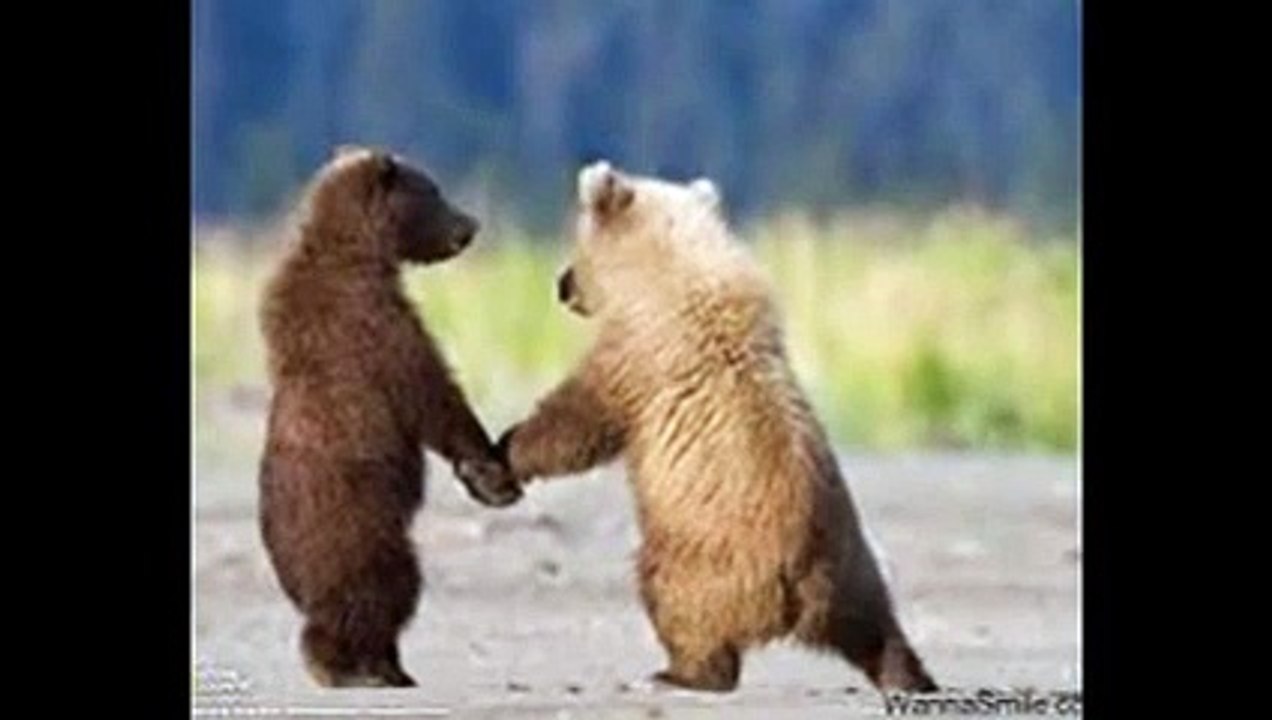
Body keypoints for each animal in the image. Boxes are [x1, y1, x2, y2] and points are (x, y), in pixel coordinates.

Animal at [257, 145, 521, 688]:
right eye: (435, 192)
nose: (471, 224)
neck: (359, 250)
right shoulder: (369, 320)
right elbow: (430, 391)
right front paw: (490, 473)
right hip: (364, 533)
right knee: (387, 590)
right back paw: (363, 666)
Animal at [493, 161, 938, 694]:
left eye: (576, 244)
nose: (561, 284)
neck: (679, 269)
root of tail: (800, 590)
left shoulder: (642, 354)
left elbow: (581, 419)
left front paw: (508, 448)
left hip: (705, 556)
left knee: (675, 600)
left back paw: (680, 672)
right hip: (852, 564)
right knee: (875, 625)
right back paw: (909, 675)